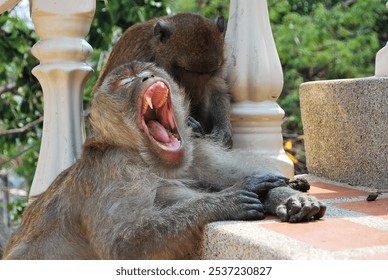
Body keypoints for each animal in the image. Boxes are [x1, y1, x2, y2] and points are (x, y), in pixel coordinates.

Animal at [1, 62, 326, 260]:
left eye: (147, 71)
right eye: (126, 82)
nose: (146, 79)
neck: (149, 158)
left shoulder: (197, 153)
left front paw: (285, 194)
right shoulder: (113, 169)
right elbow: (124, 243)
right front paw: (227, 200)